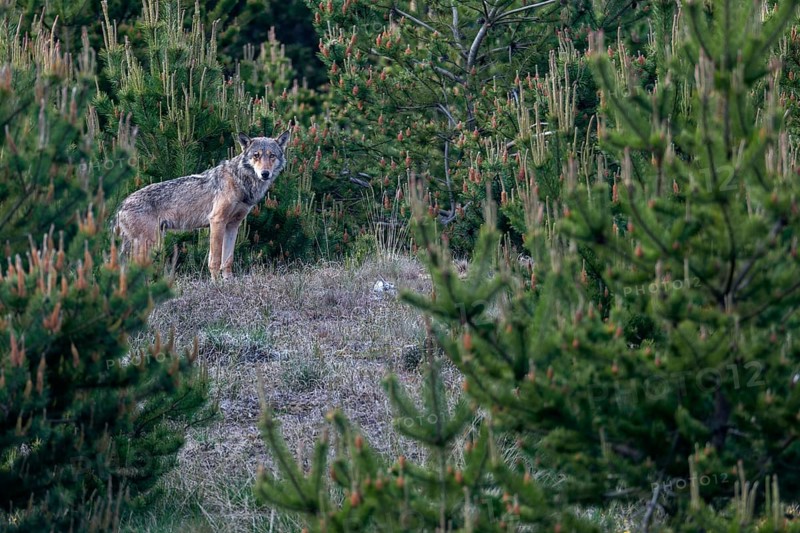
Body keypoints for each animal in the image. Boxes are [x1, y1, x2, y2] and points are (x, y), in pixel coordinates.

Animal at [114, 130, 290, 280]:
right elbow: (215, 260)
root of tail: (121, 205)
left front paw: (229, 282)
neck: (240, 181)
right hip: (149, 244)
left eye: (272, 156)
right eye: (256, 155)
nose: (265, 174)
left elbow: (228, 260)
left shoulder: (233, 225)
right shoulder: (217, 221)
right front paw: (216, 285)